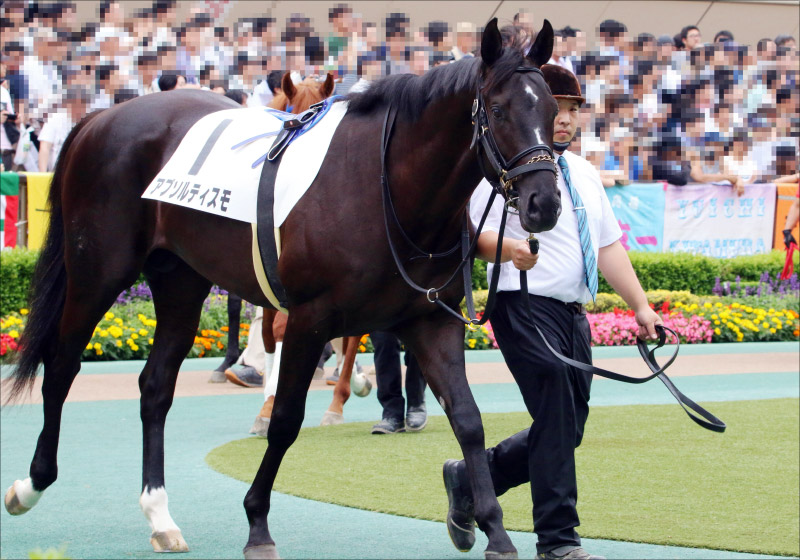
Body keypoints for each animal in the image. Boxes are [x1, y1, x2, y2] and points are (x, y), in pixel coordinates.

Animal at [4, 19, 559, 559]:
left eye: (552, 109)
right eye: (499, 110)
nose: (545, 203)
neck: (386, 184)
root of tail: (101, 119)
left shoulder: (430, 319)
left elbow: (468, 418)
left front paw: (495, 531)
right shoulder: (310, 317)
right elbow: (287, 420)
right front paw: (257, 523)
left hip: (180, 278)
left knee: (155, 387)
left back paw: (160, 517)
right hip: (97, 271)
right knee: (61, 367)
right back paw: (31, 485)